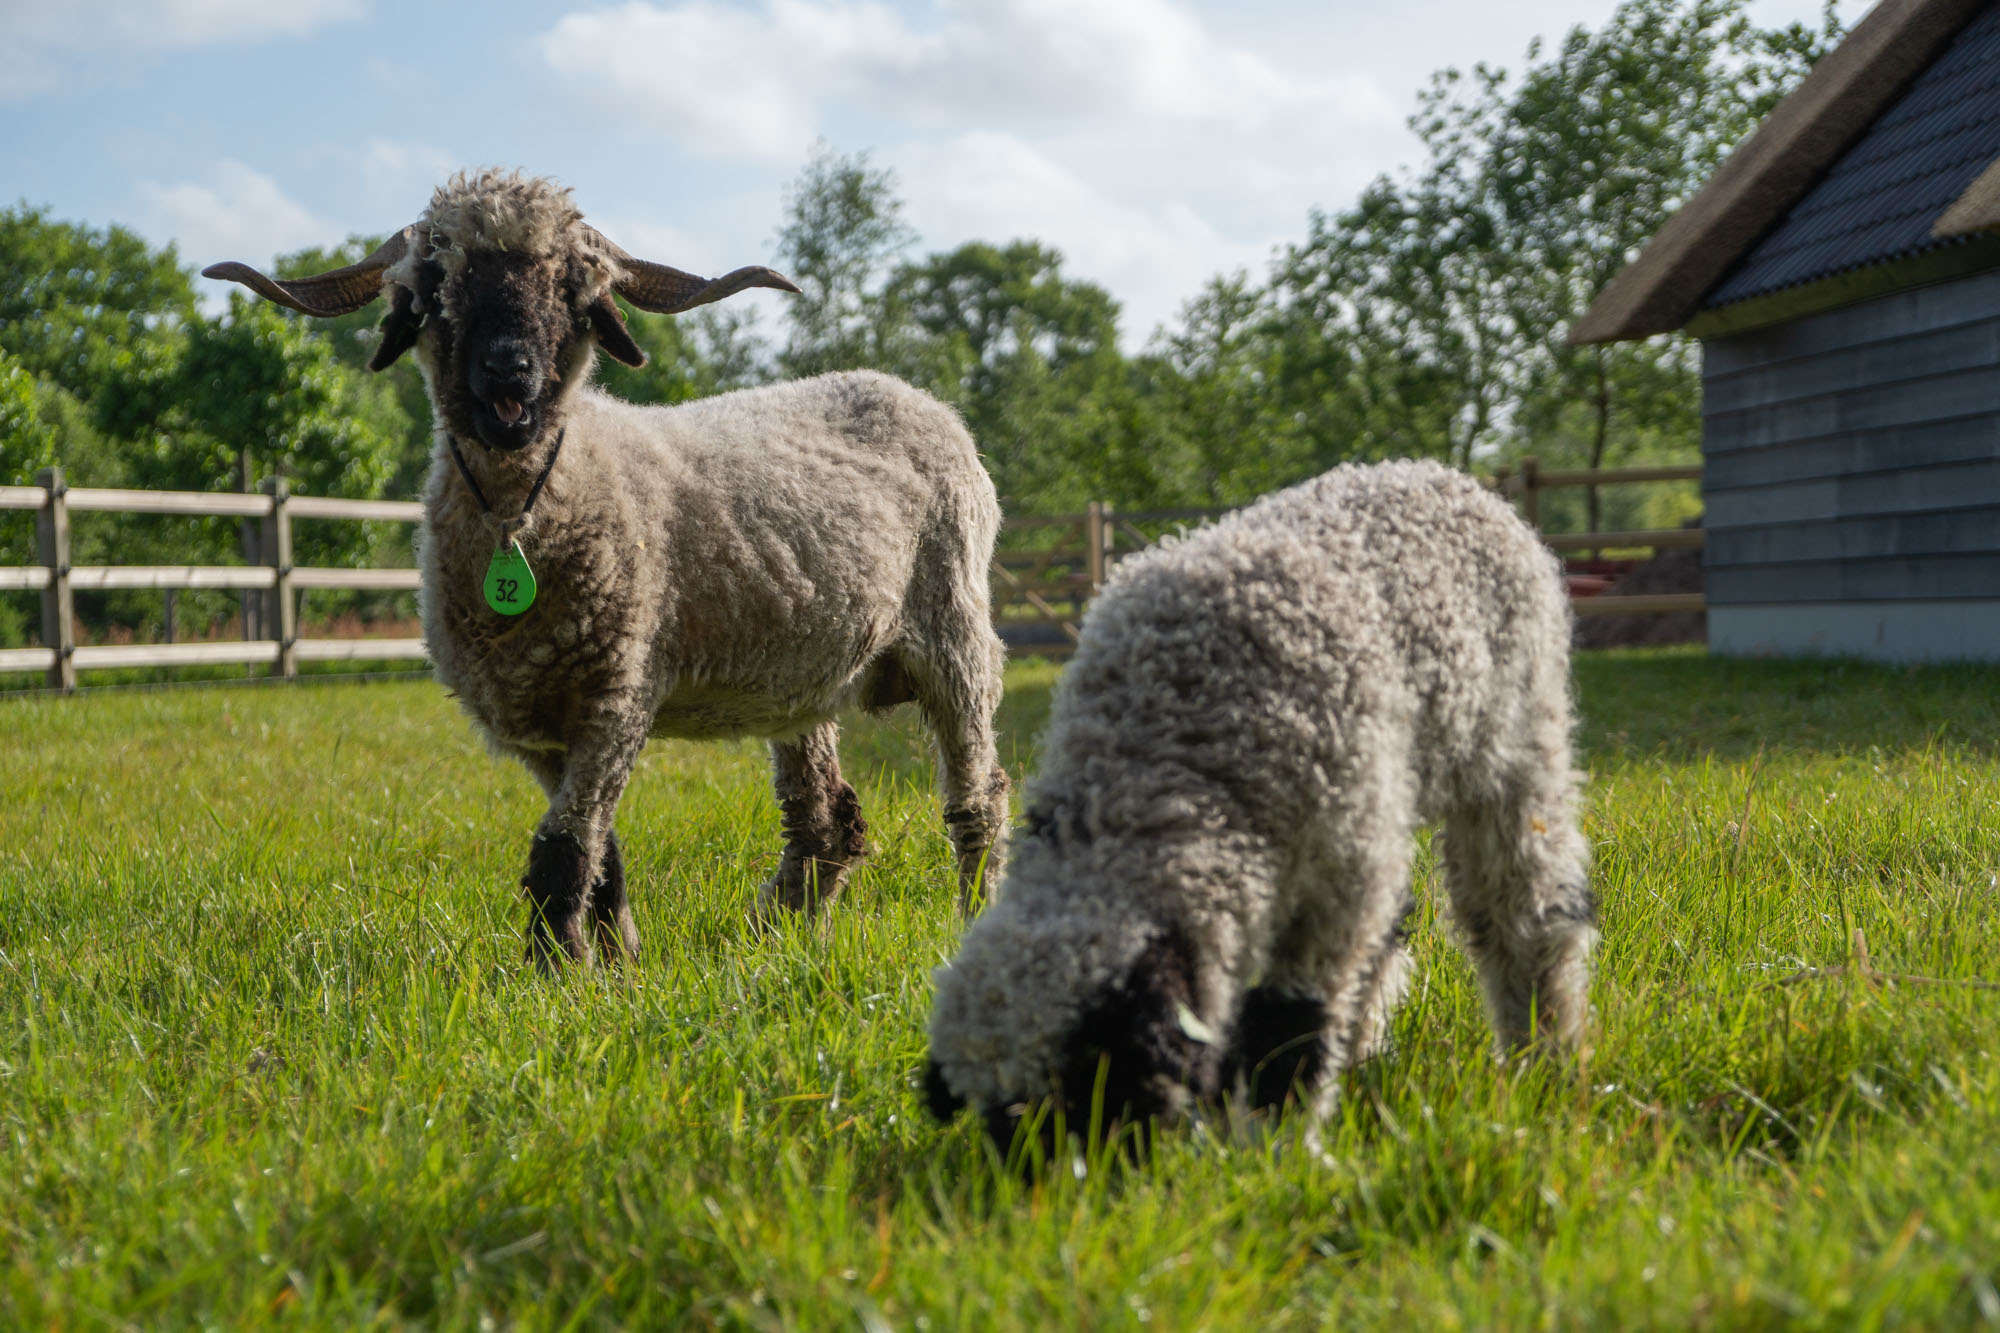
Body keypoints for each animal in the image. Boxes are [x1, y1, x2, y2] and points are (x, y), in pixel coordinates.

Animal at [920, 456, 1592, 1144]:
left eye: (1094, 1087)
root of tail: (1442, 477)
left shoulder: (1338, 870)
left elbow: (1294, 1019)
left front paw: (1275, 1137)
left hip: (1513, 744)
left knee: (1524, 912)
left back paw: (1545, 1055)